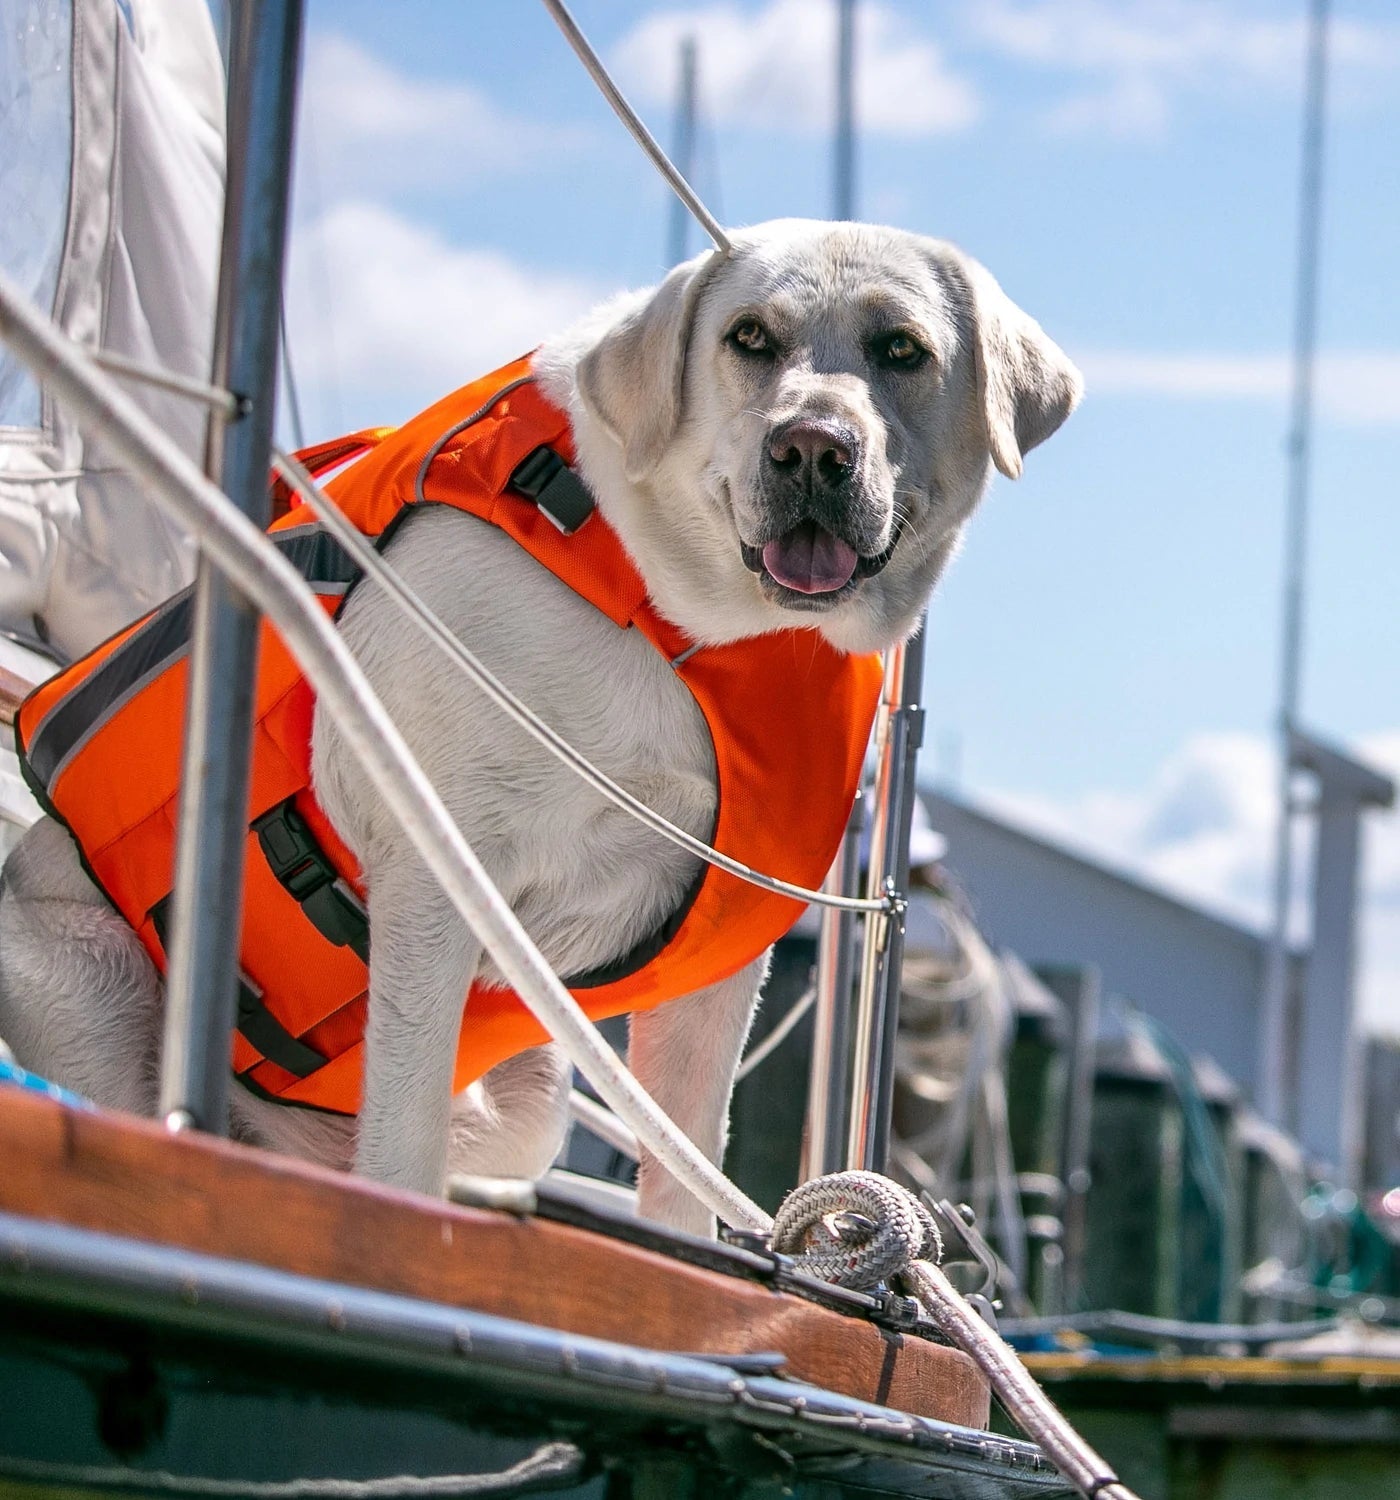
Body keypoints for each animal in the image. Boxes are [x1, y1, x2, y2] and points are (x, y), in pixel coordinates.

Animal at [0, 219, 1080, 1230]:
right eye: (749, 337)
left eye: (901, 349)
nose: (811, 445)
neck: (684, 623)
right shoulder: (436, 871)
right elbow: (401, 1145)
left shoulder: (724, 959)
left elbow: (686, 1166)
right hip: (96, 994)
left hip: (526, 1105)